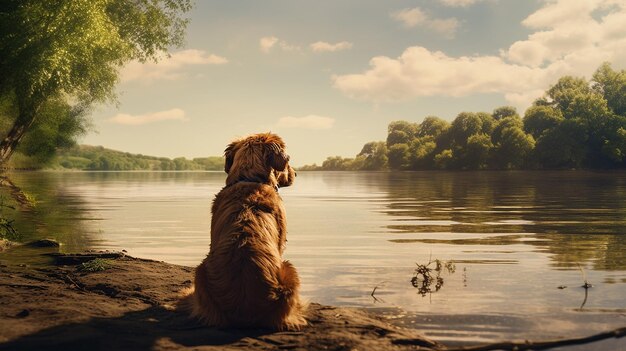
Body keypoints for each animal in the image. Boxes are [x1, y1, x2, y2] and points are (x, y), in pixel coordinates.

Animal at [188, 133, 308, 332]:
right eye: (288, 161)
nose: (296, 173)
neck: (250, 179)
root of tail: (244, 313)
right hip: (289, 270)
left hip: (200, 271)